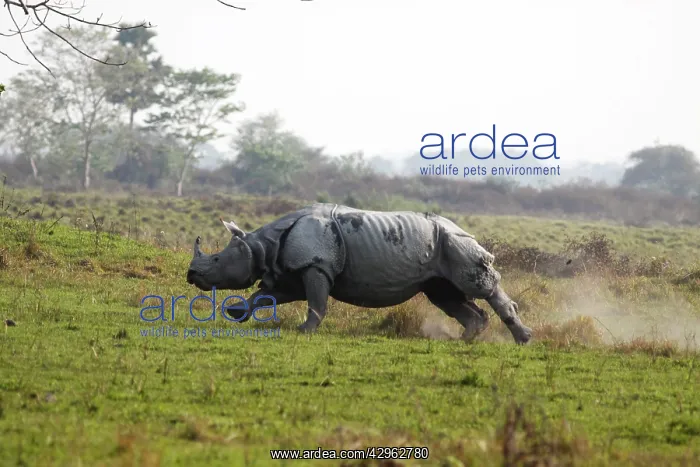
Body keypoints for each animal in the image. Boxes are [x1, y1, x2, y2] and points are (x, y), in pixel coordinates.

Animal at [186, 203, 532, 344]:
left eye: (216, 259)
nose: (190, 274)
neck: (263, 245)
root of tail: (465, 230)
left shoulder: (316, 265)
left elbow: (316, 302)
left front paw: (304, 331)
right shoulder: (292, 270)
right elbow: (265, 295)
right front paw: (235, 312)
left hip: (456, 243)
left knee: (478, 285)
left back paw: (523, 339)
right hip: (441, 249)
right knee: (445, 295)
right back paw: (467, 338)